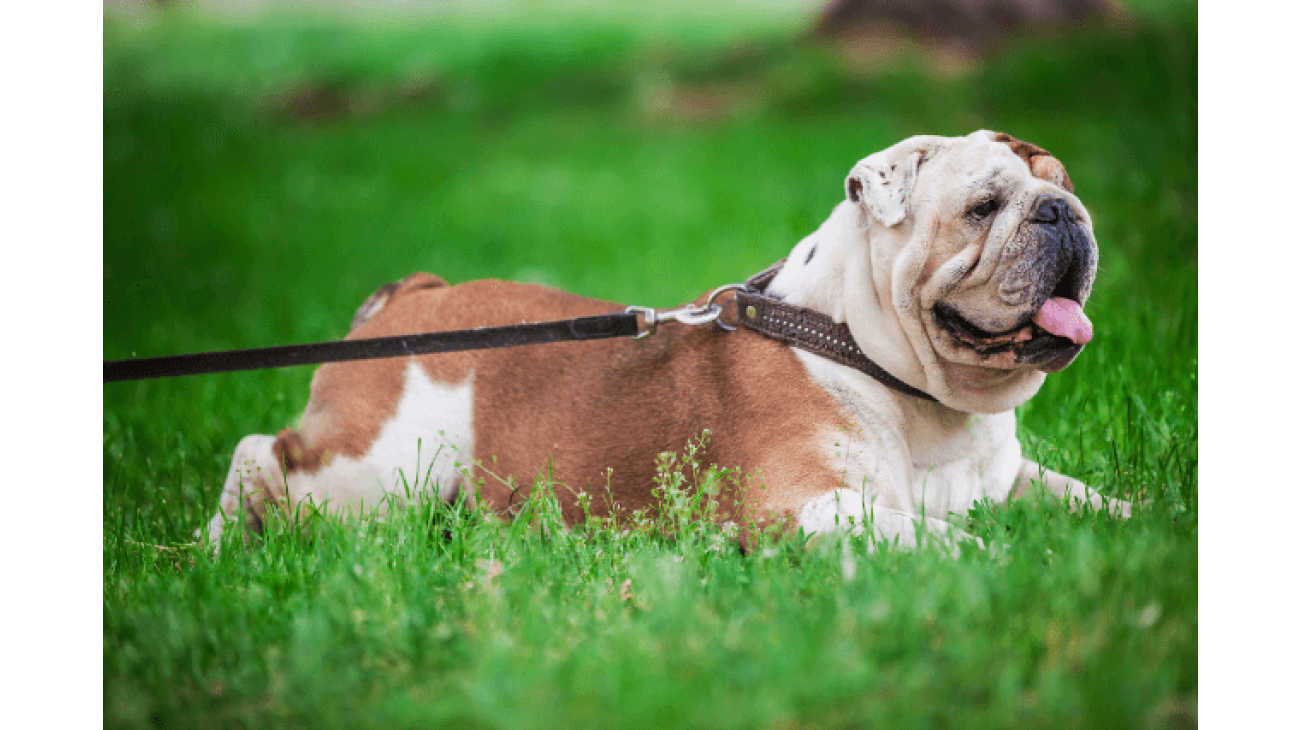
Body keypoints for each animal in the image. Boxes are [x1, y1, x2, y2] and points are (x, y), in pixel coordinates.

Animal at [202, 131, 1128, 550]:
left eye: (1064, 187)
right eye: (982, 206)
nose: (1064, 213)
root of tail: (413, 297)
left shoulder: (1009, 482)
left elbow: (1094, 500)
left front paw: (1143, 526)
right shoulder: (814, 505)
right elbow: (945, 542)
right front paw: (1003, 567)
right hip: (380, 472)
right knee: (265, 454)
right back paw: (219, 541)